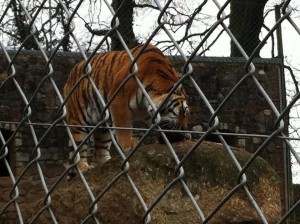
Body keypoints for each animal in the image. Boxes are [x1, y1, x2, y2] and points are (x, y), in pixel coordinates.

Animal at [63, 43, 190, 177]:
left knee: (101, 149)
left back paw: (106, 163)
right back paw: (83, 168)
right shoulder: (118, 100)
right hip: (78, 119)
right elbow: (123, 127)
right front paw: (129, 144)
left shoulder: (148, 113)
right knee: (78, 147)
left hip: (104, 127)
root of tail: (69, 77)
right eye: (183, 112)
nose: (185, 131)